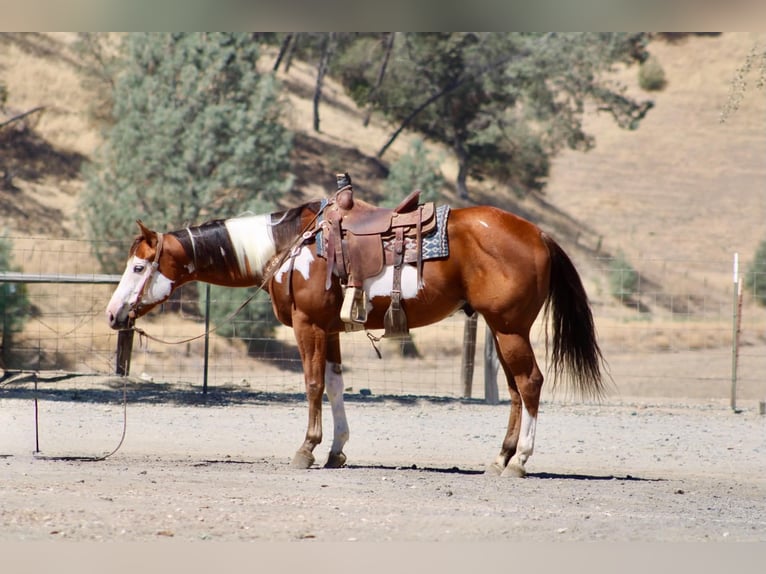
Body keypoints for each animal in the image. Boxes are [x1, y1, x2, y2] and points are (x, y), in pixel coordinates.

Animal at [105, 193, 605, 477]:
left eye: (138, 267)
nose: (113, 314)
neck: (293, 247)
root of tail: (538, 233)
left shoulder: (308, 325)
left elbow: (311, 384)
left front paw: (306, 449)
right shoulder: (329, 329)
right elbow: (336, 385)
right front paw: (336, 451)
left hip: (509, 327)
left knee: (530, 384)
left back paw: (519, 462)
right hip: (500, 330)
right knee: (516, 390)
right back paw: (500, 458)